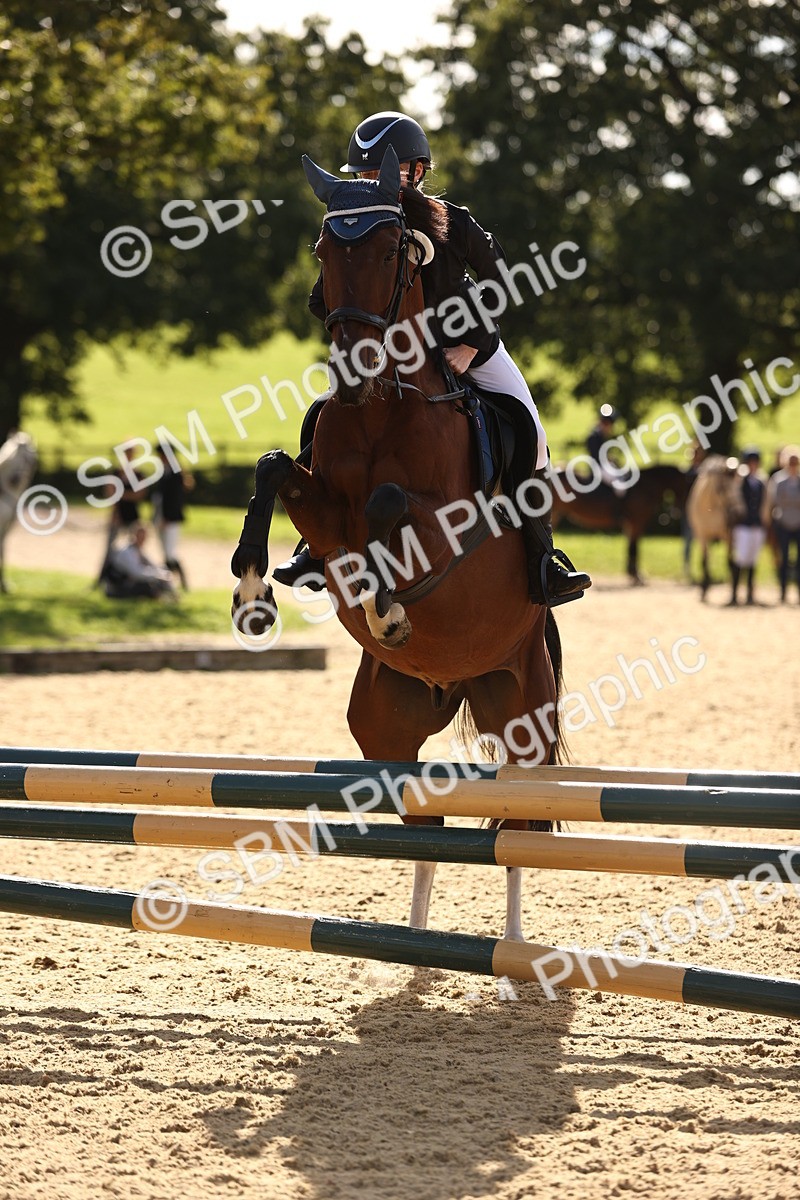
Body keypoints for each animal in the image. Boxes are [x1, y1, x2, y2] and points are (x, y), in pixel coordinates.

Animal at [230, 147, 564, 942]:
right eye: (323, 252)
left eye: (391, 253)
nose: (352, 371)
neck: (382, 406)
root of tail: (459, 684)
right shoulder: (327, 519)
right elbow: (271, 469)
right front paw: (253, 590)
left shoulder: (450, 531)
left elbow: (388, 503)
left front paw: (387, 610)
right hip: (387, 725)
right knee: (428, 824)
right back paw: (415, 947)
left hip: (524, 712)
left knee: (518, 822)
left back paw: (512, 949)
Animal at [550, 462, 694, 583]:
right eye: (687, 487)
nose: (677, 512)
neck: (644, 486)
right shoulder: (636, 523)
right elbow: (634, 547)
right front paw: (636, 576)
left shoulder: (630, 524)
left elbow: (630, 546)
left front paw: (632, 574)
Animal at [685, 455, 742, 600]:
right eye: (723, 488)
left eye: (738, 485)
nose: (738, 515)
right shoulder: (702, 535)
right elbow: (704, 561)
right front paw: (704, 590)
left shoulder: (728, 535)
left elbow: (730, 561)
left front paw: (733, 595)